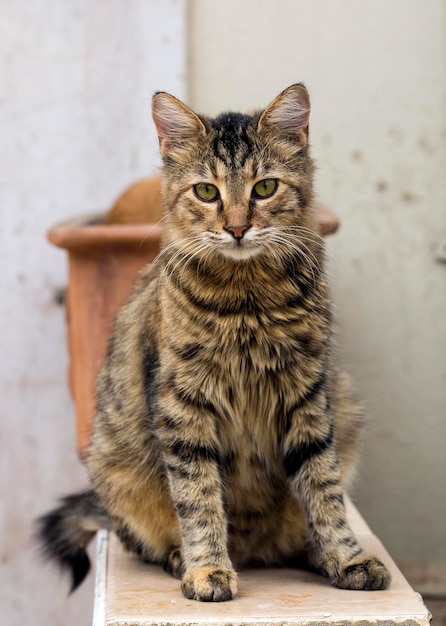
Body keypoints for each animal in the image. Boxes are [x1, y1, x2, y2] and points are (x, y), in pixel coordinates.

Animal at [37, 84, 390, 600]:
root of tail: (255, 551)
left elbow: (323, 489)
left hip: (342, 407)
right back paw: (183, 559)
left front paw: (346, 557)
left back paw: (309, 553)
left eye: (264, 187)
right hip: (113, 467)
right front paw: (207, 569)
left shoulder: (306, 393)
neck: (247, 302)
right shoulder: (183, 405)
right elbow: (199, 498)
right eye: (207, 191)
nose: (237, 228)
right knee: (147, 542)